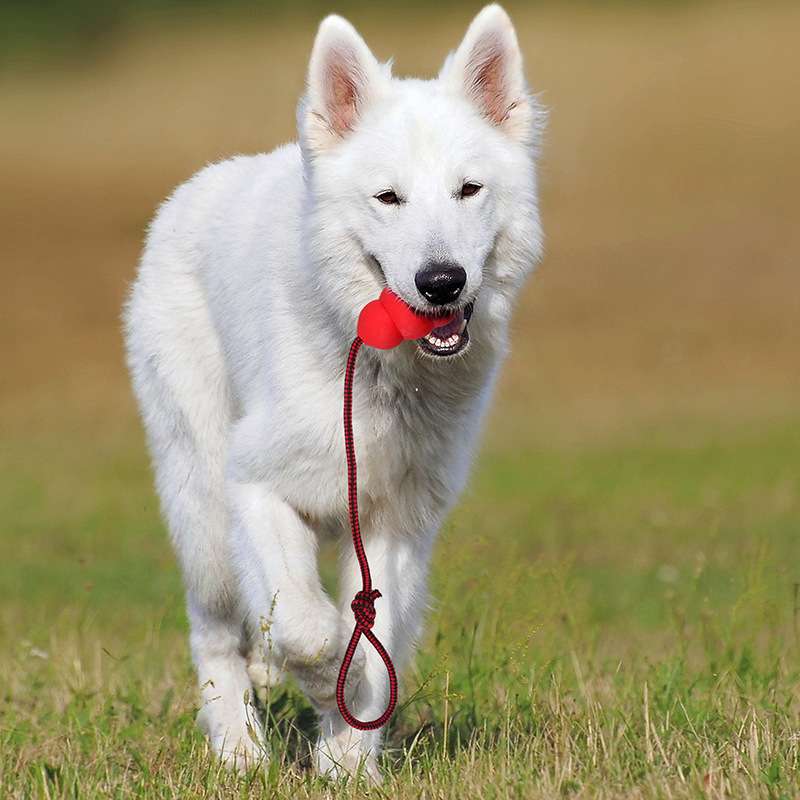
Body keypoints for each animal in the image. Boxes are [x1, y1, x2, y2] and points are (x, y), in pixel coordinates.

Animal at [123, 3, 544, 780]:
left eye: (468, 190)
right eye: (388, 198)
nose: (442, 282)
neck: (377, 367)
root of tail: (193, 190)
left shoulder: (395, 523)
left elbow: (372, 645)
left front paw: (349, 763)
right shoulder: (256, 487)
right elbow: (309, 629)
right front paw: (321, 685)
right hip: (203, 507)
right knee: (216, 631)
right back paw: (239, 752)